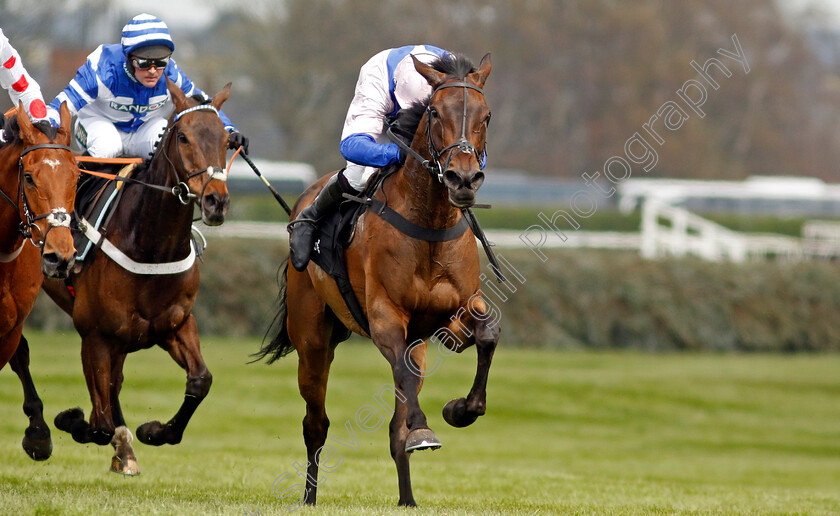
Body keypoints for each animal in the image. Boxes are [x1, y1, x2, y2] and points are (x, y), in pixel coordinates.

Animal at [18, 79, 233, 472]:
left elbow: (200, 380)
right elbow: (100, 422)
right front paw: (71, 419)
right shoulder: (95, 335)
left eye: (227, 140)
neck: (151, 245)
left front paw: (155, 431)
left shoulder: (176, 324)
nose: (216, 202)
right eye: (183, 137)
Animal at [260, 54, 498, 506]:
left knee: (394, 422)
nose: (463, 179)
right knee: (315, 423)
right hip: (312, 340)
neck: (429, 224)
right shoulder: (386, 317)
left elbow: (487, 333)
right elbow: (403, 385)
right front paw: (425, 429)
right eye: (434, 112)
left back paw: (407, 498)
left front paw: (461, 409)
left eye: (487, 115)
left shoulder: (452, 317)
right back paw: (309, 498)